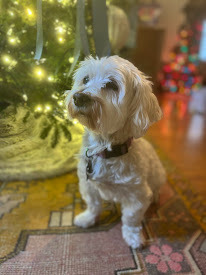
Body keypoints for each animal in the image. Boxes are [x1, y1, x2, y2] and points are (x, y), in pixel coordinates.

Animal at [65, 56, 166, 250]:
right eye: (86, 79)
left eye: (112, 85)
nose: (79, 97)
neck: (106, 150)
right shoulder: (88, 185)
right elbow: (93, 204)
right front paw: (88, 218)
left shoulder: (137, 195)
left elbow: (131, 218)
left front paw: (133, 237)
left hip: (158, 174)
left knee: (157, 187)